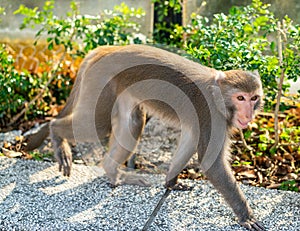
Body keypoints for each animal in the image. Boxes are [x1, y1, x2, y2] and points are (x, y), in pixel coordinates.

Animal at [25, 44, 264, 229]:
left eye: (253, 98)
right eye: (240, 98)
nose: (248, 114)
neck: (218, 96)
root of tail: (107, 49)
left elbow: (189, 139)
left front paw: (170, 182)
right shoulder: (212, 115)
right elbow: (211, 163)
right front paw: (246, 216)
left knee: (133, 123)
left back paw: (113, 173)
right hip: (100, 82)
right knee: (96, 124)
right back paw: (56, 134)